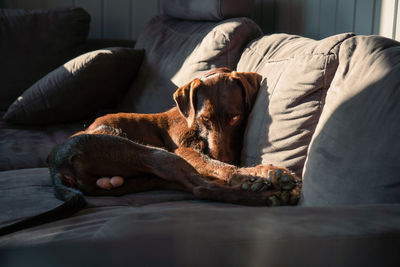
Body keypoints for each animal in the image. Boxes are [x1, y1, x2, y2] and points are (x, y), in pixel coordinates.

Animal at [47, 68, 302, 206]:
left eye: (235, 117)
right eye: (204, 119)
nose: (224, 156)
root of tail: (57, 166)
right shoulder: (186, 150)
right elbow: (218, 166)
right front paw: (257, 174)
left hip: (149, 177)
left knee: (195, 185)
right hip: (152, 154)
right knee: (202, 188)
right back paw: (268, 190)